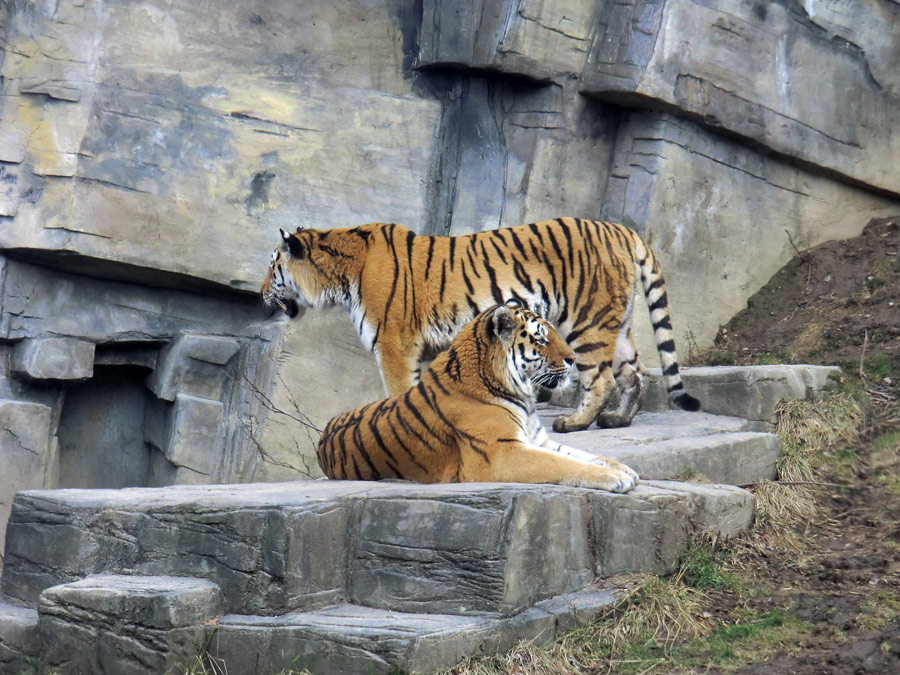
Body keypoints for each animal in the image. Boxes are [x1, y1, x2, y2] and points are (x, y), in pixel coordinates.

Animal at [264, 215, 700, 434]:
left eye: (273, 267)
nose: (261, 293)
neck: (340, 274)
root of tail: (621, 229)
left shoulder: (393, 345)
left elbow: (399, 392)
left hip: (587, 321)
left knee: (601, 377)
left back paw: (574, 423)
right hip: (615, 321)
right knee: (638, 373)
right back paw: (617, 420)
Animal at [316, 304, 640, 494]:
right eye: (540, 338)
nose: (572, 359)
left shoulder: (538, 441)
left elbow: (582, 455)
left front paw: (625, 469)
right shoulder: (499, 453)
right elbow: (563, 465)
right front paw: (616, 478)